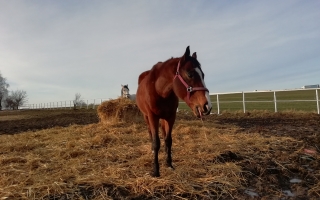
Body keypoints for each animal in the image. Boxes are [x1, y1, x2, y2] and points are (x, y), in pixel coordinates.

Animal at [136, 46, 212, 177]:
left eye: (203, 74)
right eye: (190, 74)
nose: (207, 105)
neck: (159, 90)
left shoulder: (171, 117)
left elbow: (168, 140)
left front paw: (169, 164)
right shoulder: (152, 117)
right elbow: (156, 143)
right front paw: (156, 171)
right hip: (146, 116)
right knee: (150, 132)